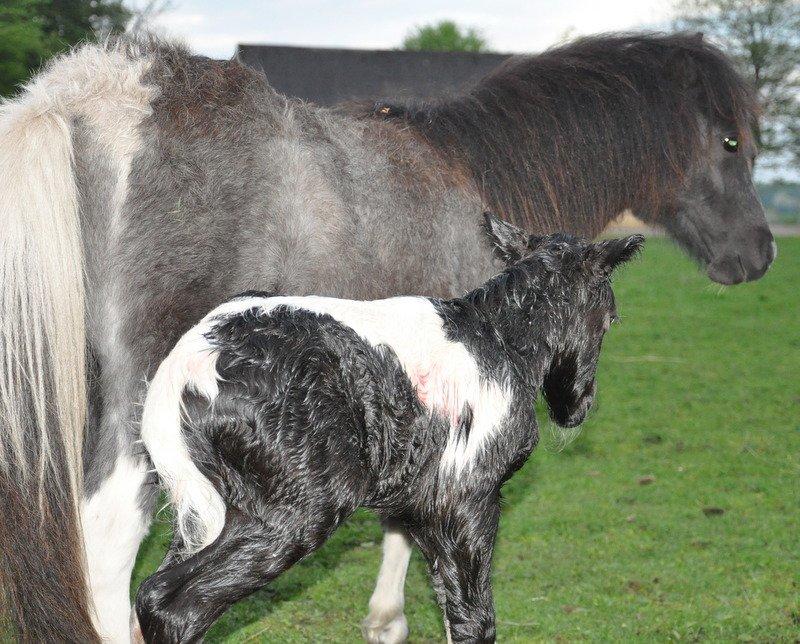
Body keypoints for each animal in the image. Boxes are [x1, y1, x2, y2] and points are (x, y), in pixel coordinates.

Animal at [134, 215, 640, 640]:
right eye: (611, 319)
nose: (578, 407)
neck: (500, 338)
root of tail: (186, 368)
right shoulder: (467, 498)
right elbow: (473, 617)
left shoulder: (420, 503)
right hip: (296, 509)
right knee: (174, 604)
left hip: (213, 507)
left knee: (155, 592)